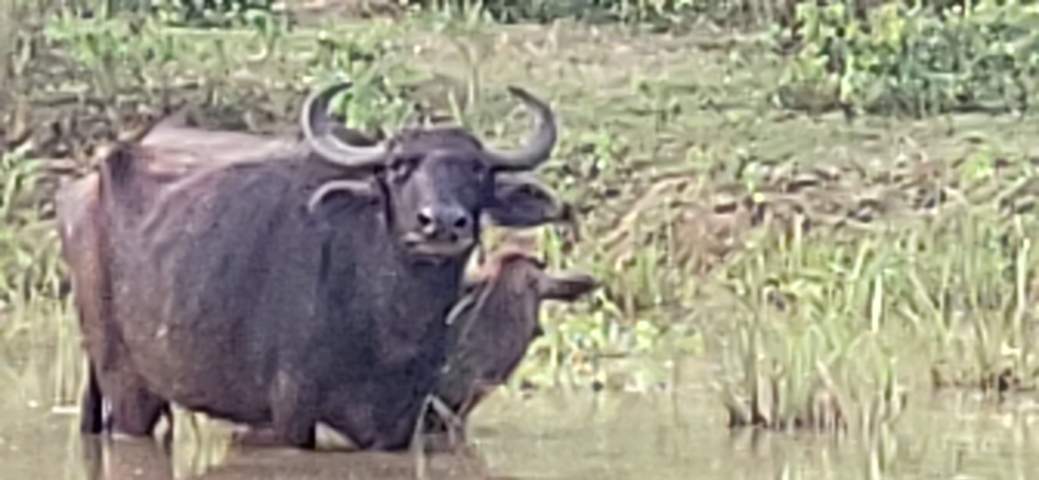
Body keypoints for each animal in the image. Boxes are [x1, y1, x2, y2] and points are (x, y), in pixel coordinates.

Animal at [56, 81, 573, 450]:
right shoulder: (290, 412)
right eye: (398, 167)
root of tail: (88, 181)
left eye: (477, 170)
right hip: (124, 379)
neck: (386, 324)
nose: (441, 223)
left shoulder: (397, 423)